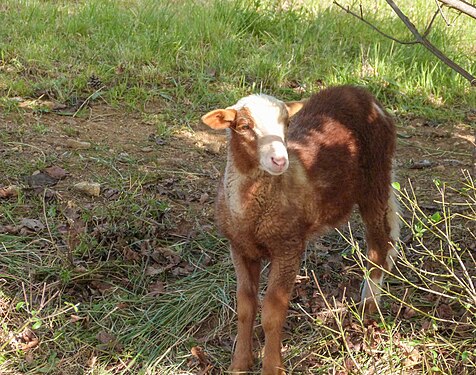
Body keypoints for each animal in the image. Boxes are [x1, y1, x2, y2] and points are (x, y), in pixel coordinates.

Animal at [201, 86, 398, 375]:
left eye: (286, 124)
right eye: (244, 126)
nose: (279, 160)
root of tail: (359, 92)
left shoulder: (288, 247)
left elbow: (272, 313)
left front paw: (272, 367)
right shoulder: (239, 247)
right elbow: (245, 307)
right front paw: (239, 364)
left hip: (375, 177)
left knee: (379, 244)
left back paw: (369, 303)